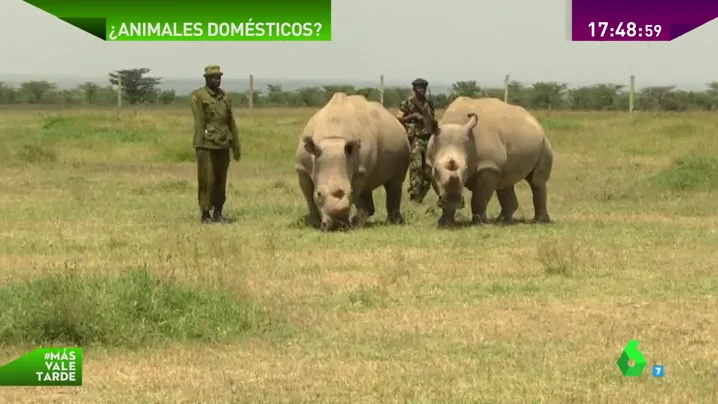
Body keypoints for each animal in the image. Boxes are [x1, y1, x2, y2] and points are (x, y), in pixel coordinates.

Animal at [296, 92, 414, 230]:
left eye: (350, 193)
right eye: (319, 194)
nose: (338, 225)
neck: (332, 139)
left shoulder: (359, 170)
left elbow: (357, 192)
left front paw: (351, 224)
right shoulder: (302, 169)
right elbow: (309, 197)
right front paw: (314, 223)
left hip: (402, 144)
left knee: (394, 182)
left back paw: (391, 222)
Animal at [430, 96, 556, 226]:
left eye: (466, 170)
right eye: (435, 170)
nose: (453, 201)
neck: (454, 123)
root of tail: (534, 120)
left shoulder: (488, 166)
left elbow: (479, 198)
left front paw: (480, 223)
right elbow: (441, 189)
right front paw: (444, 223)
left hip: (544, 142)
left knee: (536, 181)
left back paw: (540, 221)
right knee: (505, 182)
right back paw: (502, 221)